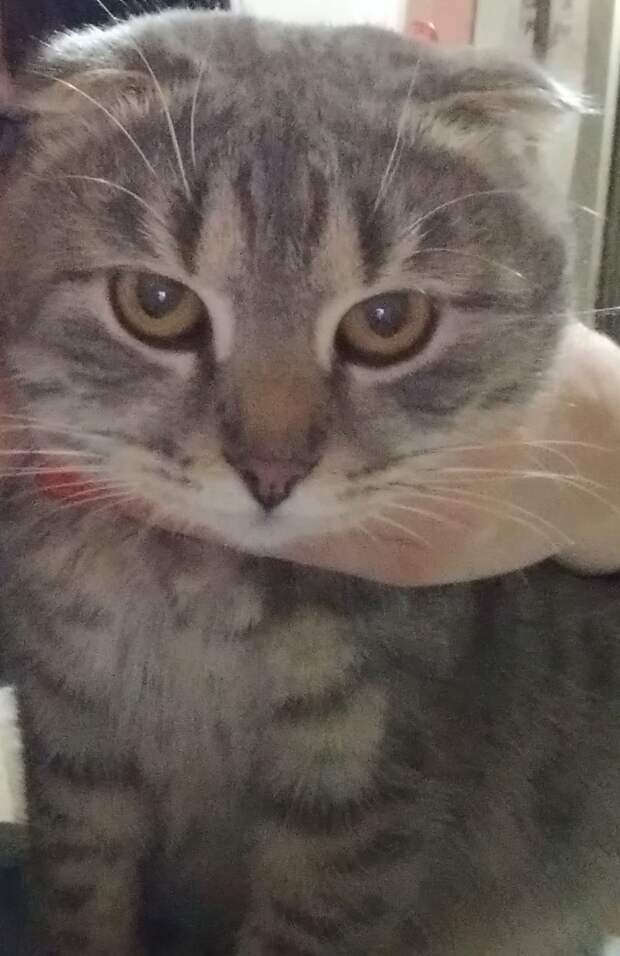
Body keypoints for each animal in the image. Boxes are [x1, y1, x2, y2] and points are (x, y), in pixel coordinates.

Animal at [0, 8, 618, 956]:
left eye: (387, 321)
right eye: (156, 303)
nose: (271, 470)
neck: (198, 609)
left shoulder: (358, 800)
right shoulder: (73, 748)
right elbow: (82, 903)